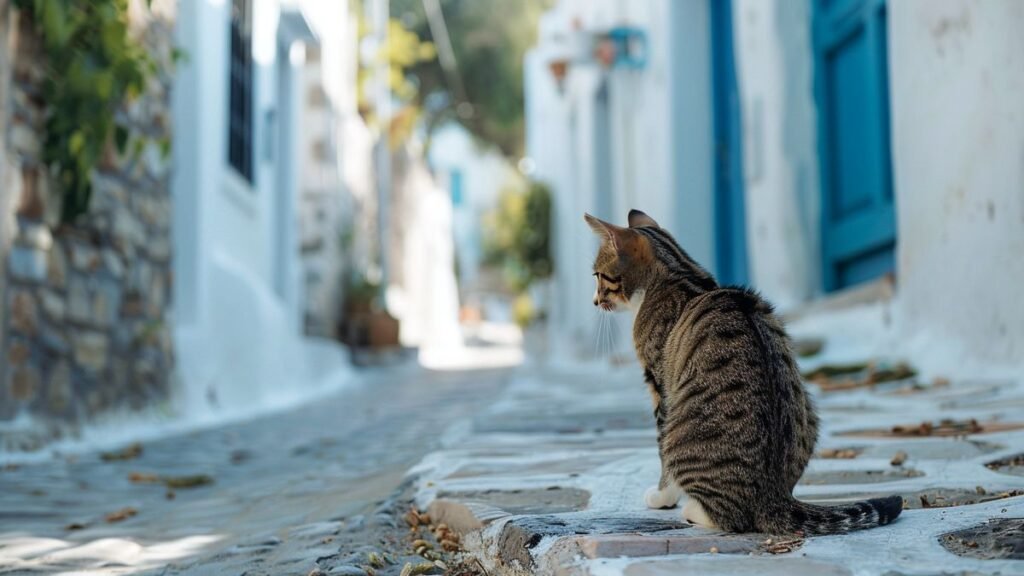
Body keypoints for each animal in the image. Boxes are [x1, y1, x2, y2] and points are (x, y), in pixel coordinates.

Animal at [589, 210, 901, 532]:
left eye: (598, 276)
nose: (595, 301)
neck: (678, 274)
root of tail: (775, 497)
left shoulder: (658, 386)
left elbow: (662, 455)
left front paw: (662, 496)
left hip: (681, 431)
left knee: (729, 516)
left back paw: (693, 509)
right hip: (810, 411)